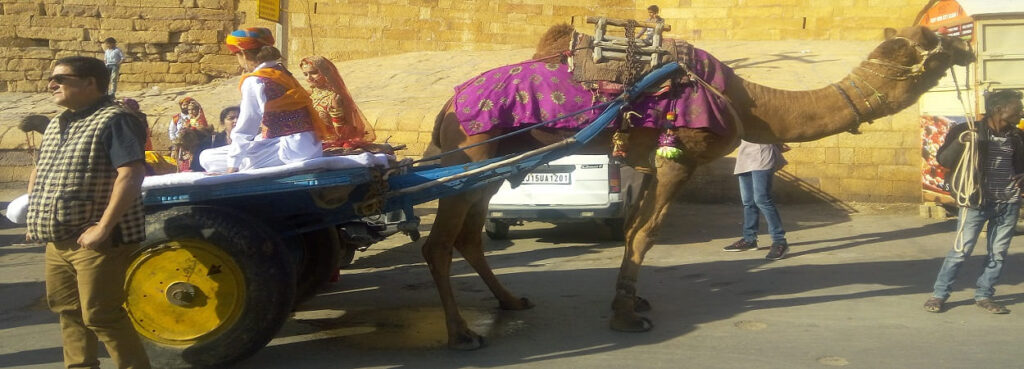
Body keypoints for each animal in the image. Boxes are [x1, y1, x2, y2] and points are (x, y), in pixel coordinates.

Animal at [419, 23, 970, 348]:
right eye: (934, 41)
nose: (965, 43)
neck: (750, 102)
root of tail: (448, 104)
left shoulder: (650, 165)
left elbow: (632, 231)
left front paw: (632, 301)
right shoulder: (677, 158)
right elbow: (645, 234)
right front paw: (626, 317)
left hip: (490, 163)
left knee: (468, 236)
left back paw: (511, 303)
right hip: (470, 150)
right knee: (438, 242)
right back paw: (461, 333)